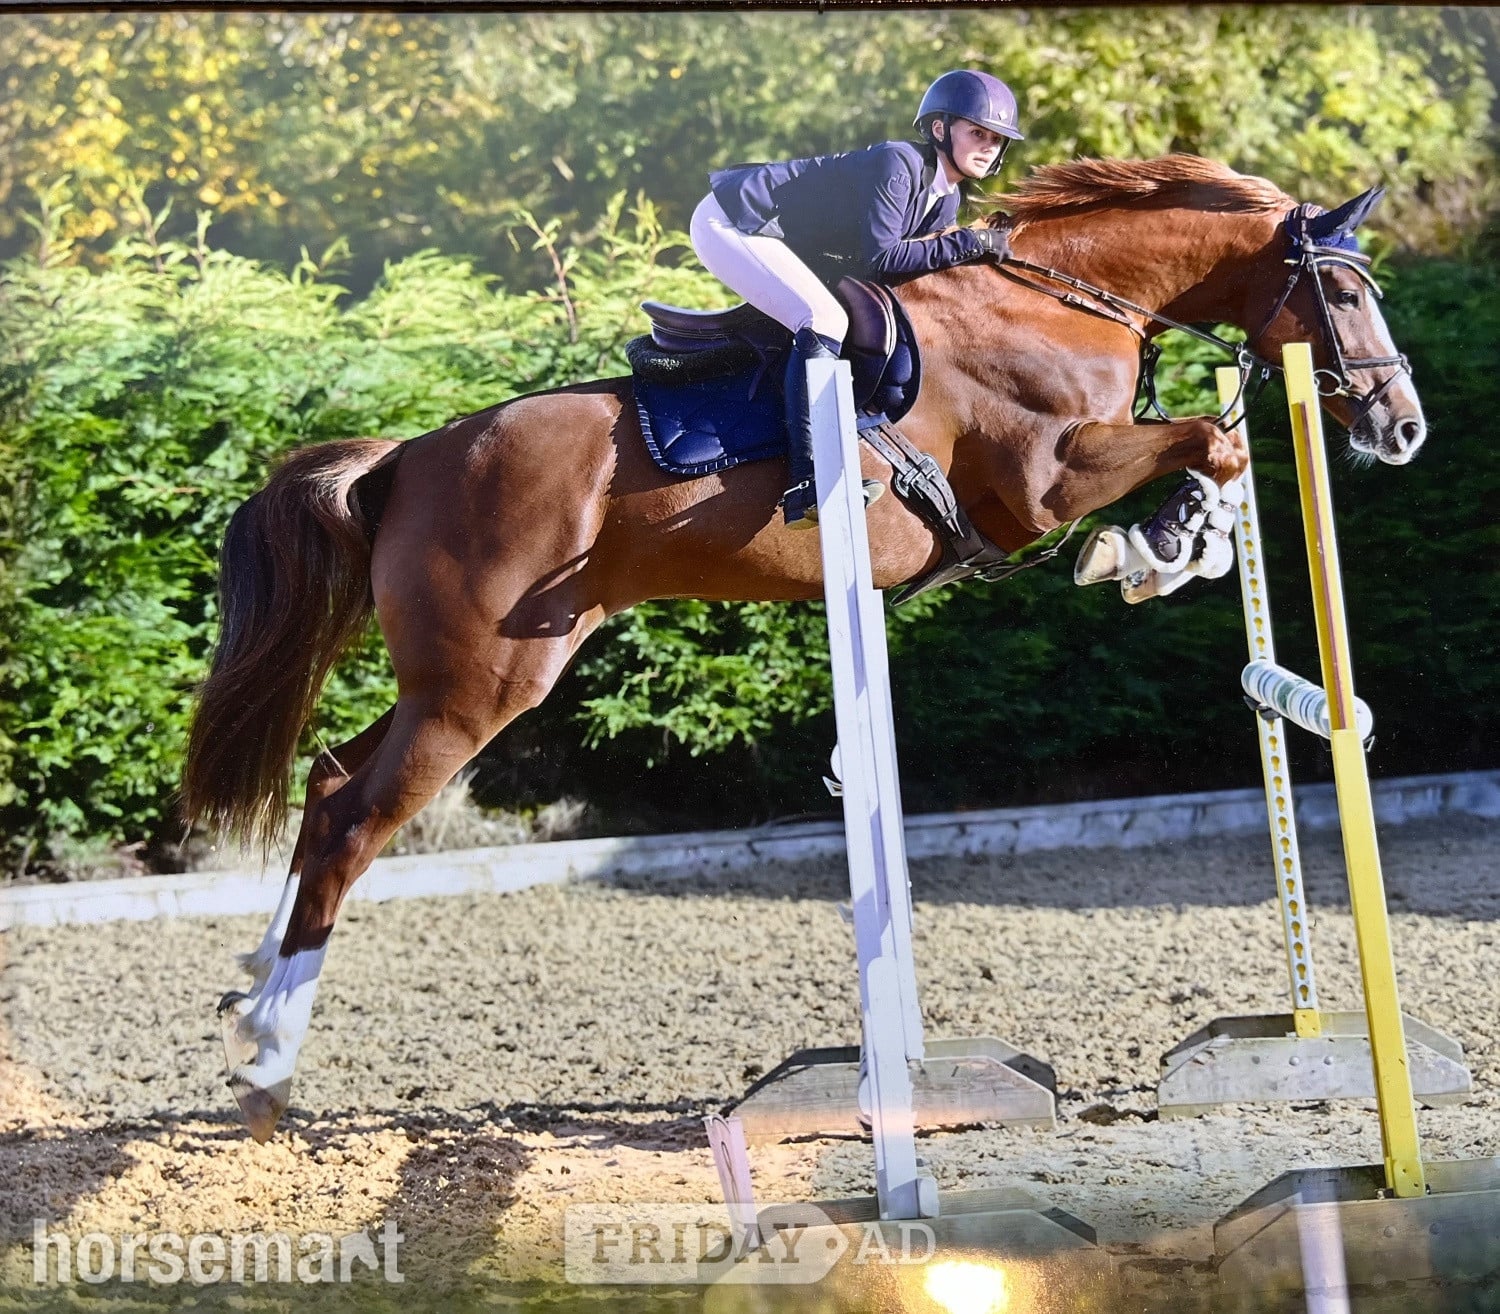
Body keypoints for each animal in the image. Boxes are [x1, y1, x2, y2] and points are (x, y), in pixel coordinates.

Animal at [183, 154, 1425, 1141]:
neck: (1066, 304)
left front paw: (1172, 549)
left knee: (330, 781)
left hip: (461, 674)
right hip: (482, 685)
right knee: (355, 821)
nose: (1402, 427)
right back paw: (269, 1063)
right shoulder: (1043, 483)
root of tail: (409, 456)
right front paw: (1151, 549)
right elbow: (1210, 442)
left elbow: (1217, 453)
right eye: (1344, 290)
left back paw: (249, 996)